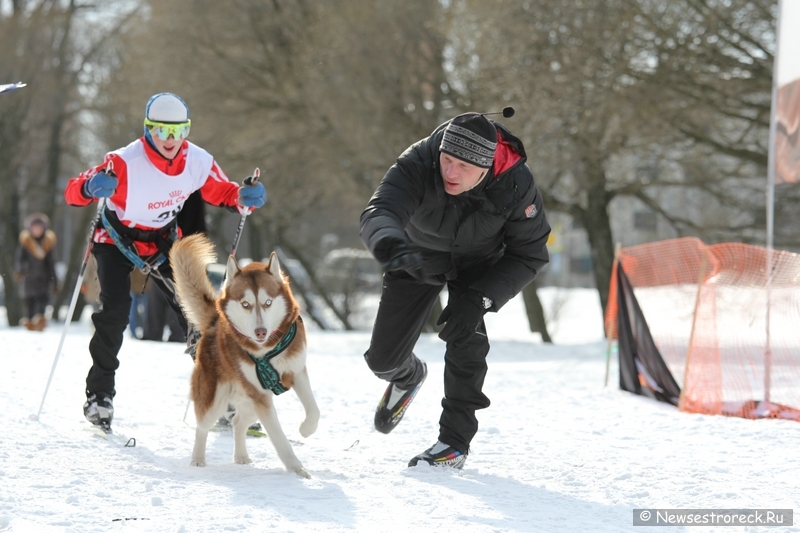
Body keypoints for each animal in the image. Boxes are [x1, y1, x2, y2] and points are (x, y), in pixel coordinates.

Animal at [171, 235, 318, 476]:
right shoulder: (261, 397)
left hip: (250, 401)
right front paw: (297, 470)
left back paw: (241, 456)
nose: (260, 332)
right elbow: (279, 438)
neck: (268, 349)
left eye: (268, 302)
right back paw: (197, 460)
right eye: (245, 304)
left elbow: (314, 410)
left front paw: (306, 429)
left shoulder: (297, 371)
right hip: (218, 400)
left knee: (238, 422)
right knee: (202, 426)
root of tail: (215, 322)